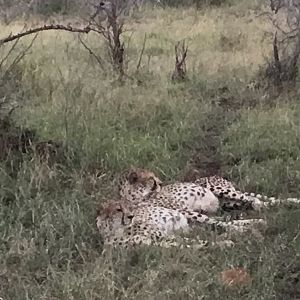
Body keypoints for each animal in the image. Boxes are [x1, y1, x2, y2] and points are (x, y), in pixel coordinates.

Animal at [96, 199, 234, 248]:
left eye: (129, 207)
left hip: (190, 214)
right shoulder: (157, 242)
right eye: (118, 209)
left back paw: (238, 228)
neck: (119, 230)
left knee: (222, 223)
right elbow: (187, 244)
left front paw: (224, 243)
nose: (131, 216)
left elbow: (197, 241)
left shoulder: (163, 236)